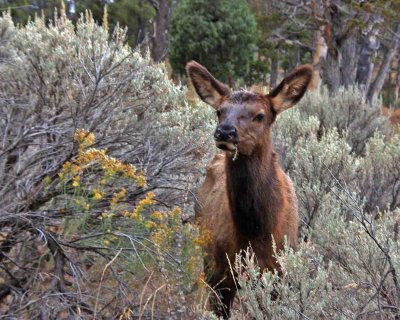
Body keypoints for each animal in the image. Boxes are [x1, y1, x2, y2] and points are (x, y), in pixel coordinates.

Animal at [188, 60, 312, 318]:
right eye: (219, 111)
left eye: (260, 115)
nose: (225, 131)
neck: (255, 231)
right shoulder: (220, 273)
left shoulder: (277, 274)